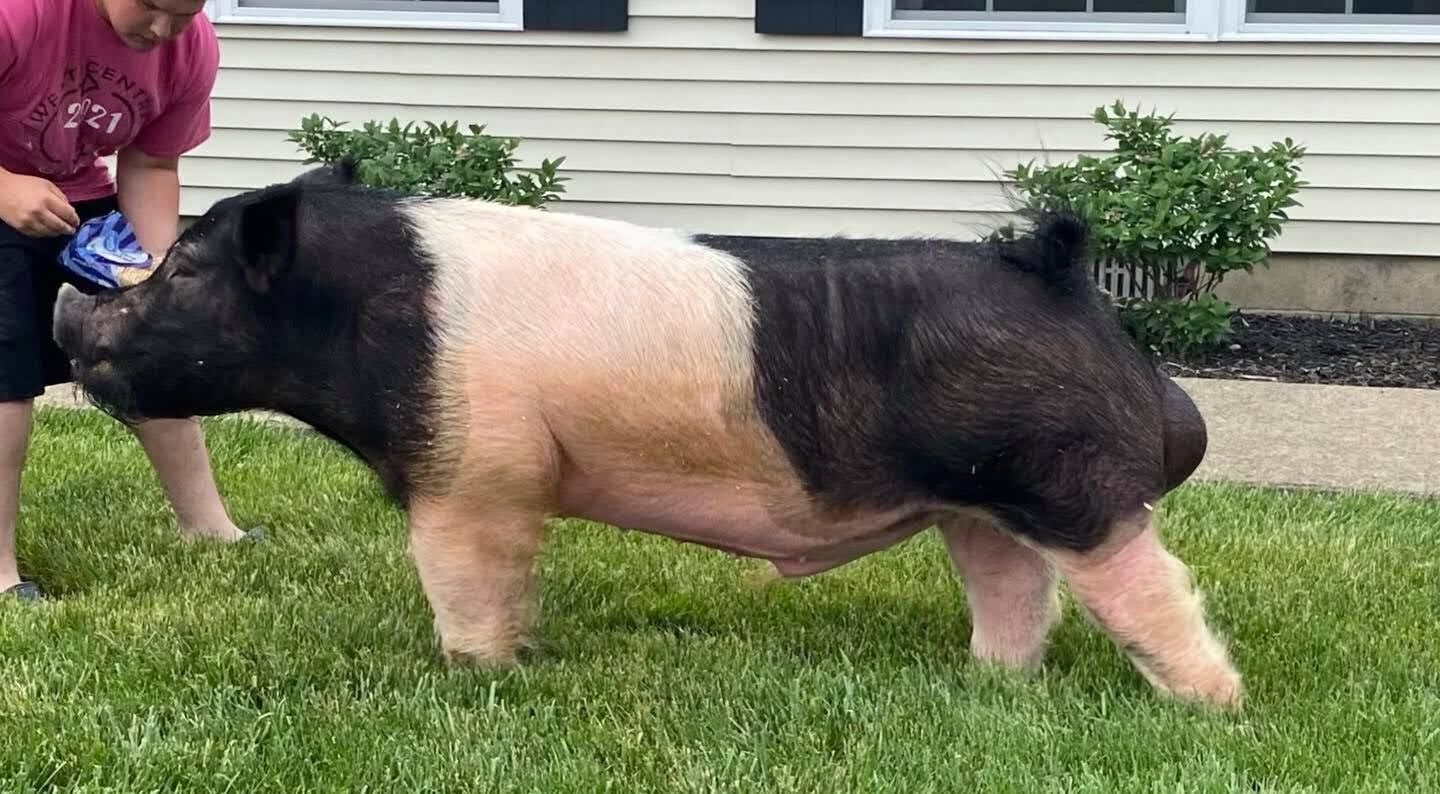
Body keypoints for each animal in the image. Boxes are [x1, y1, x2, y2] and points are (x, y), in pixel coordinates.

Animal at [52, 162, 1237, 709]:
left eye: (185, 268)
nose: (70, 309)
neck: (354, 316)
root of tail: (1056, 276)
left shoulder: (473, 472)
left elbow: (464, 578)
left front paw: (473, 675)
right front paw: (511, 661)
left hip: (1072, 484)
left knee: (1151, 588)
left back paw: (1210, 709)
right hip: (979, 499)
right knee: (1011, 589)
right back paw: (993, 685)